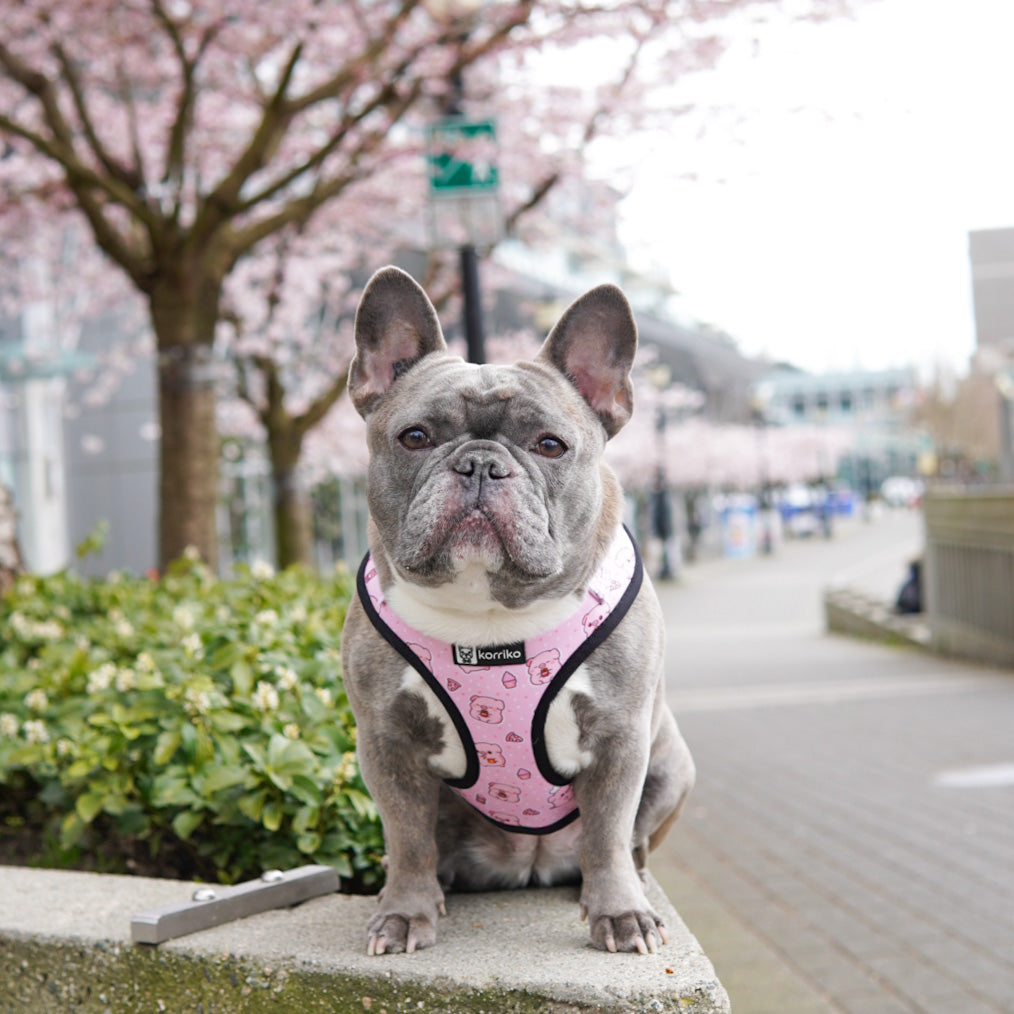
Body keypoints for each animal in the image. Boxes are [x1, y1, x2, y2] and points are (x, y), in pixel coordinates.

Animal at [340, 265, 697, 953]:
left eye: (550, 445)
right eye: (415, 437)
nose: (481, 463)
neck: (488, 617)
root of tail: (529, 866)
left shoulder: (621, 735)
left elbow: (608, 832)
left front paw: (620, 913)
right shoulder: (385, 740)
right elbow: (407, 835)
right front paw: (405, 912)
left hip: (671, 762)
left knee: (629, 841)